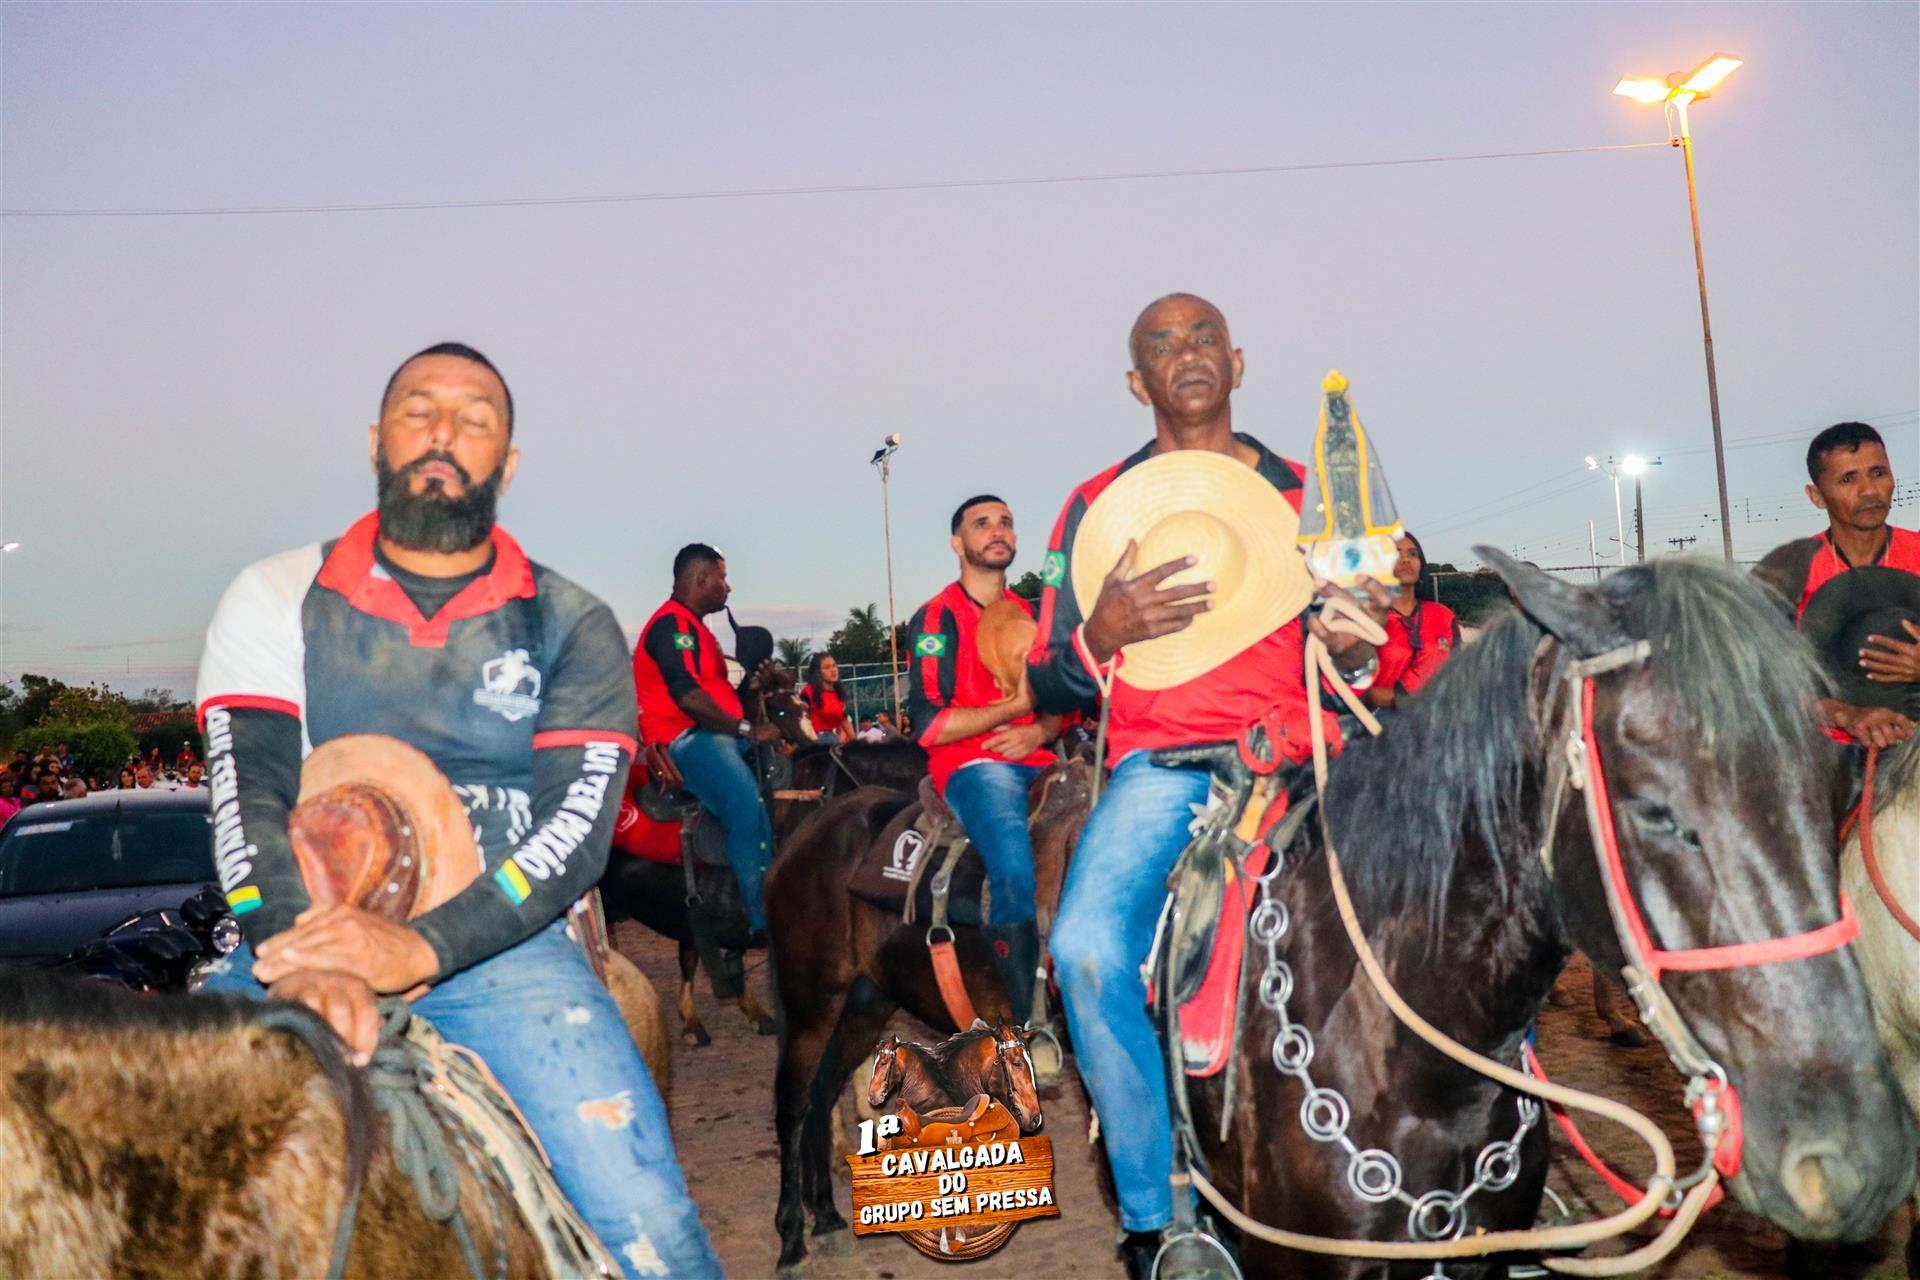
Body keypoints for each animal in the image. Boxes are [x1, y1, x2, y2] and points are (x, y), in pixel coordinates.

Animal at [768, 756, 1093, 1270]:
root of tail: (798, 841)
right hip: (811, 1002)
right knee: (793, 1103)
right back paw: (792, 1234)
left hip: (864, 1005)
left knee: (822, 1092)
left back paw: (826, 1214)